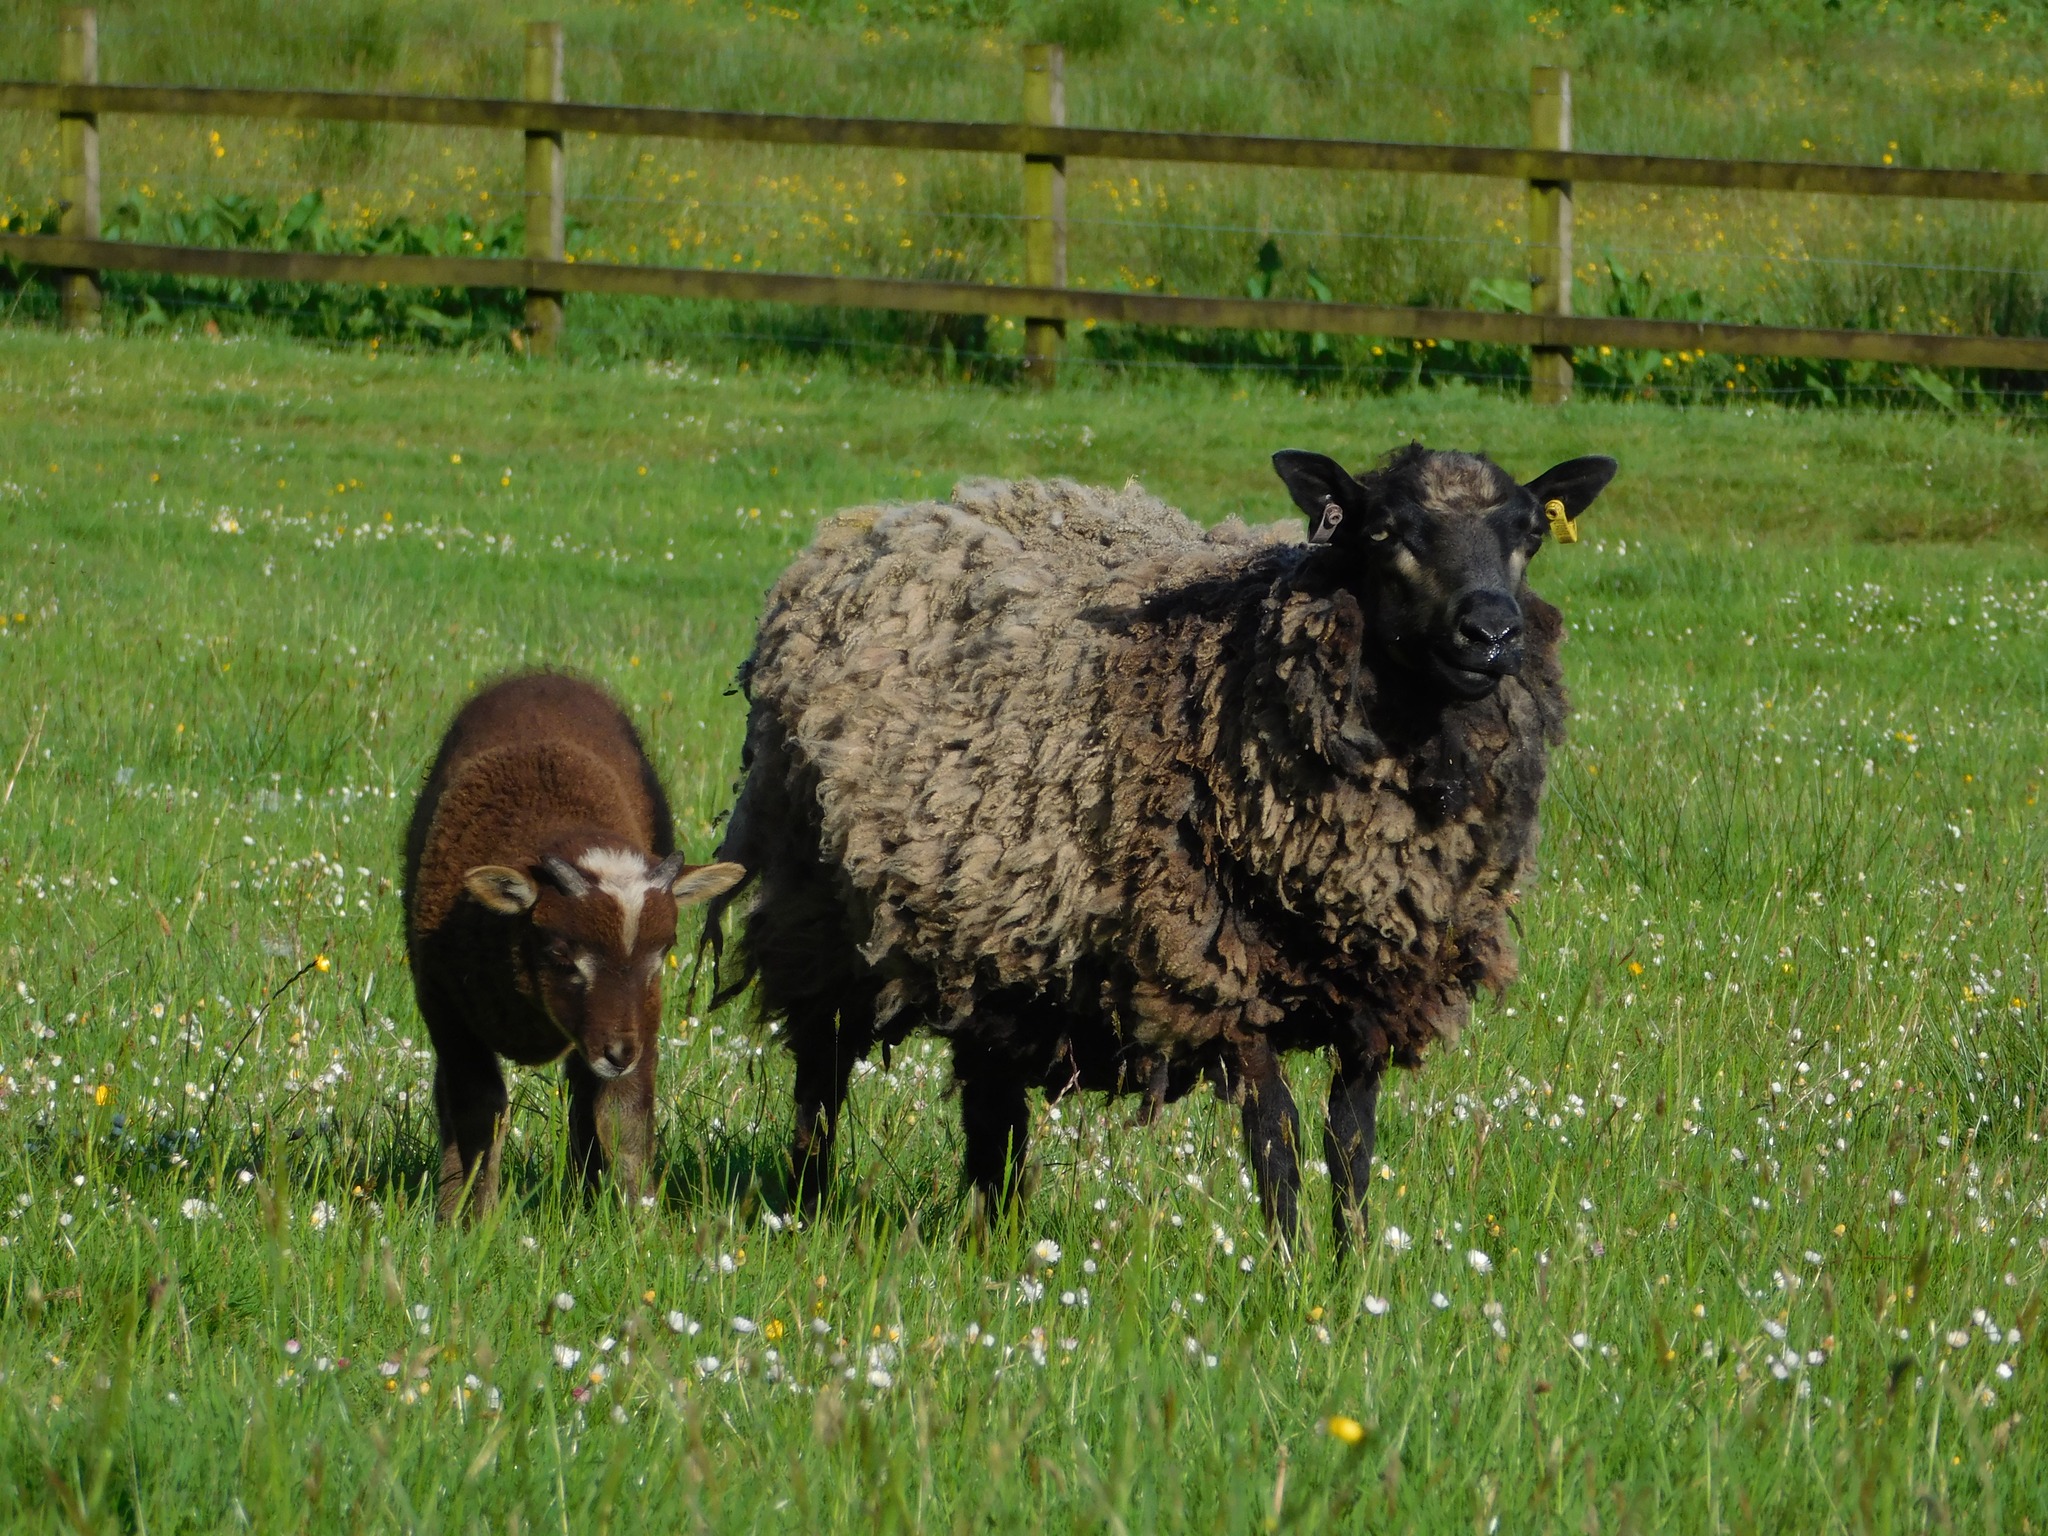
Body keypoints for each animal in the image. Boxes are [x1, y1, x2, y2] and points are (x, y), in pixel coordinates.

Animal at [403, 672, 743, 1220]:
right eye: (562, 954)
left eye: (660, 956)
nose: (620, 1052)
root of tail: (541, 675)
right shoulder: (445, 1006)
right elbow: (478, 1110)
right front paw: (471, 1218)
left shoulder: (642, 1015)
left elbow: (624, 1114)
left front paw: (636, 1217)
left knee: (585, 1100)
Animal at [710, 445, 1615, 1249]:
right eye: (1387, 529)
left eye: (1530, 532)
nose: (1490, 633)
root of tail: (885, 518)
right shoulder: (1222, 969)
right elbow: (1278, 1140)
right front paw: (1290, 1281)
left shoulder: (1374, 990)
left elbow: (1350, 1147)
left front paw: (1351, 1283)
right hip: (819, 908)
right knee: (821, 1073)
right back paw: (805, 1207)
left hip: (998, 927)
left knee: (991, 1101)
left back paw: (994, 1236)